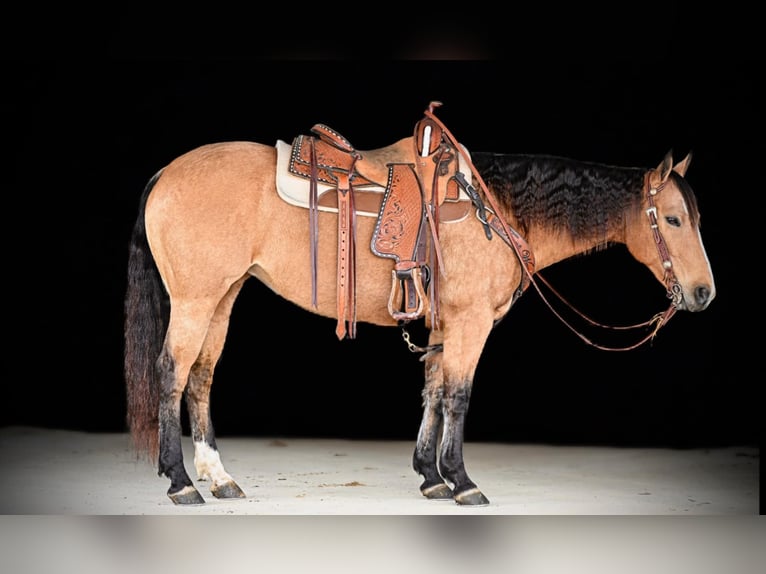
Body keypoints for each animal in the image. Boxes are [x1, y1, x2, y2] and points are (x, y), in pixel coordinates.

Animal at [126, 103, 720, 508]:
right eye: (672, 219)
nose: (703, 293)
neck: (496, 209)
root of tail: (163, 174)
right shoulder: (471, 323)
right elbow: (458, 395)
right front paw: (461, 479)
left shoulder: (444, 325)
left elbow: (433, 392)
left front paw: (431, 476)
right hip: (196, 300)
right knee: (171, 372)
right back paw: (180, 481)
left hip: (222, 296)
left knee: (201, 377)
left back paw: (219, 477)